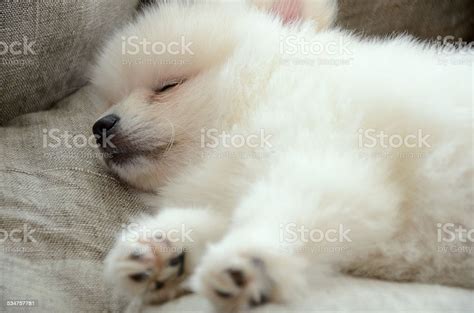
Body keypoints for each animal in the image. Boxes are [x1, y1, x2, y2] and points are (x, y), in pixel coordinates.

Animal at [90, 0, 472, 310]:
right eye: (112, 100)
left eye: (168, 86)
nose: (100, 125)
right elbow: (224, 218)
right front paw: (161, 247)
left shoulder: (328, 152)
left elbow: (285, 207)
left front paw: (251, 257)